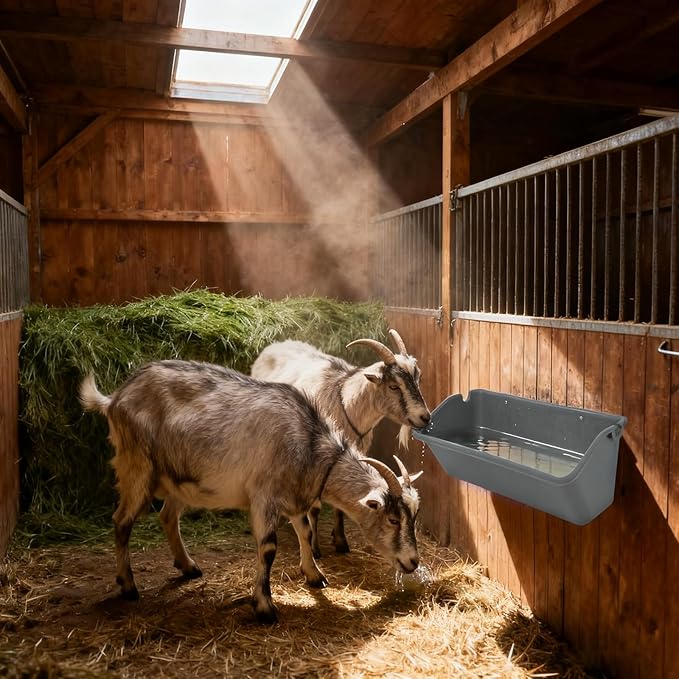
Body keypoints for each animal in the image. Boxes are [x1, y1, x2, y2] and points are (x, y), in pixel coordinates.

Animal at [79, 360, 421, 623]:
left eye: (413, 517)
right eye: (393, 520)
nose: (413, 562)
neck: (310, 447)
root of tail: (115, 398)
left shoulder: (295, 497)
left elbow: (306, 531)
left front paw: (314, 575)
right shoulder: (264, 497)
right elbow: (268, 547)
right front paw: (264, 606)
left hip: (177, 477)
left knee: (167, 516)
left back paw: (188, 566)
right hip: (136, 466)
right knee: (122, 522)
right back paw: (128, 586)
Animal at [250, 329, 429, 557]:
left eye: (418, 378)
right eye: (394, 386)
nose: (425, 417)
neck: (347, 404)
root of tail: (275, 345)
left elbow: (340, 508)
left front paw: (341, 541)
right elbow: (315, 508)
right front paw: (315, 547)